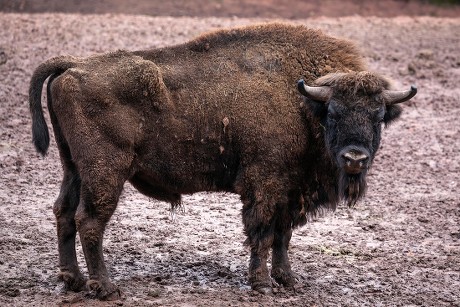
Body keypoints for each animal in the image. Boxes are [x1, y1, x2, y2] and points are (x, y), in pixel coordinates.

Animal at [28, 22, 416, 300]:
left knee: (63, 212)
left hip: (73, 169)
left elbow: (283, 235)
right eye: (333, 113)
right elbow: (262, 232)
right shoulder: (265, 184)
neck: (304, 102)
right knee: (89, 220)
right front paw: (262, 285)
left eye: (378, 116)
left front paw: (288, 280)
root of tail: (75, 65)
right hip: (105, 173)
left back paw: (73, 280)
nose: (354, 158)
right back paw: (106, 288)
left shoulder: (290, 191)